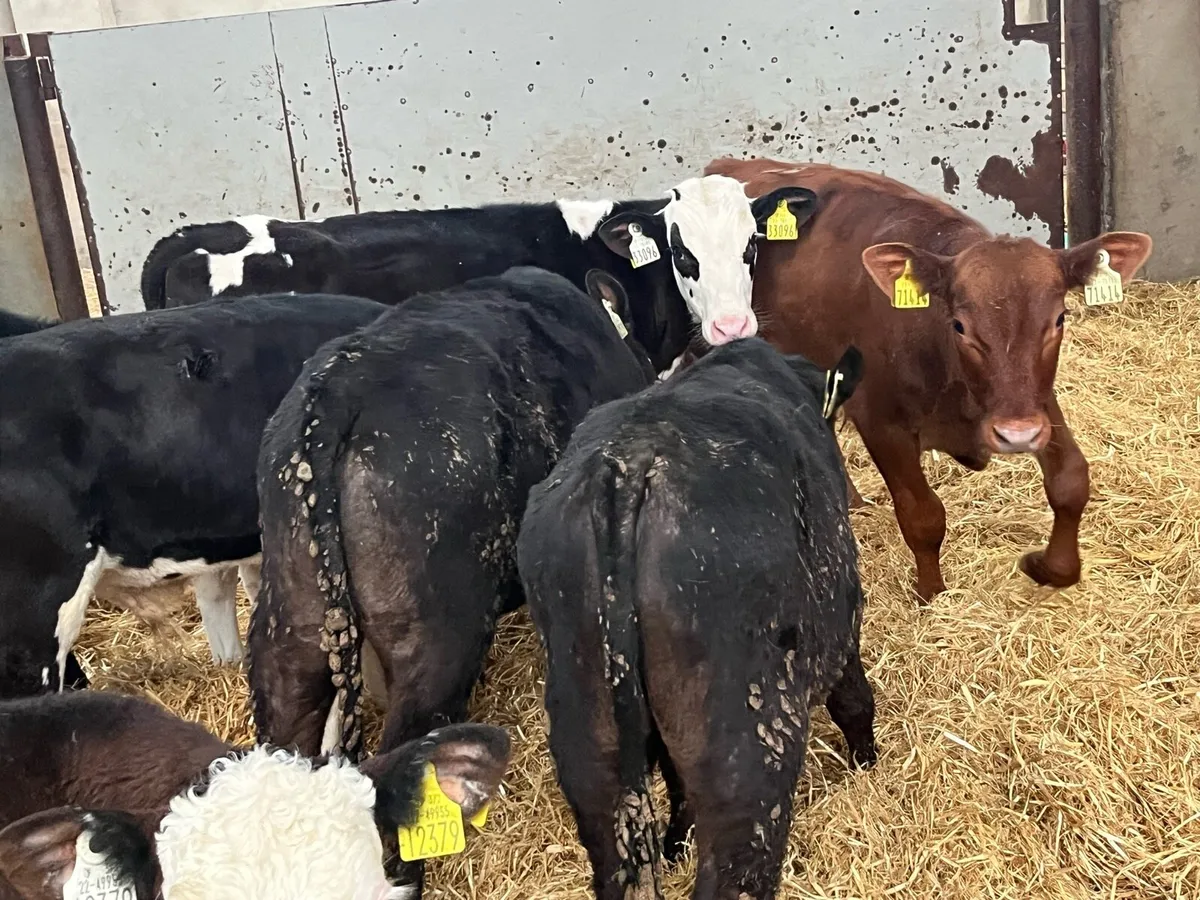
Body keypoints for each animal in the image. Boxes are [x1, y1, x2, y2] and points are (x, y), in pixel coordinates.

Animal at [516, 337, 875, 900]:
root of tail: (627, 467)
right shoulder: (840, 616)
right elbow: (855, 699)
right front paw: (867, 765)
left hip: (590, 740)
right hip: (748, 750)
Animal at [705, 158, 1154, 603]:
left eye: (1059, 319)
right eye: (960, 326)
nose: (1017, 437)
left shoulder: (1034, 403)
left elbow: (1070, 480)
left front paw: (1045, 566)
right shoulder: (882, 423)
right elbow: (922, 515)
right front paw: (931, 595)